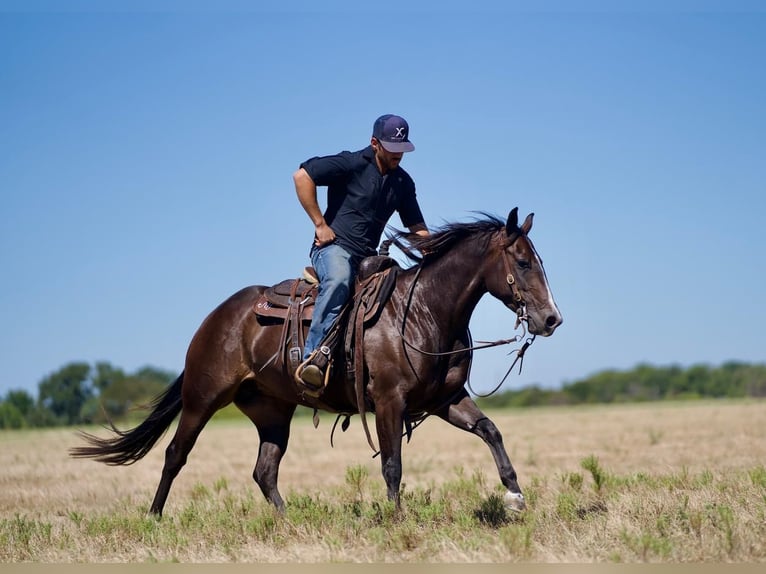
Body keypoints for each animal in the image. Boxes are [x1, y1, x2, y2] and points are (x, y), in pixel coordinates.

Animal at [72, 207, 564, 516]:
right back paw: (154, 517)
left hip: (272, 411)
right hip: (203, 397)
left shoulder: (445, 399)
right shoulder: (389, 402)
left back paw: (287, 522)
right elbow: (392, 465)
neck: (424, 310)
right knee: (176, 454)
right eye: (522, 262)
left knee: (264, 471)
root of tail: (216, 318)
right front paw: (398, 521)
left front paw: (515, 496)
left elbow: (491, 431)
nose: (551, 319)